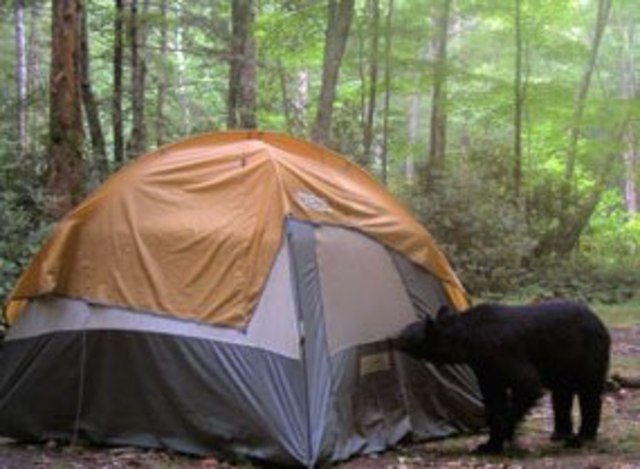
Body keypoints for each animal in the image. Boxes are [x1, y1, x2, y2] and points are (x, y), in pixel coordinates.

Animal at [392, 300, 611, 454]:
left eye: (406, 332)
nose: (391, 337)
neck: (470, 339)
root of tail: (599, 321)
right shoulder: (485, 367)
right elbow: (492, 398)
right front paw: (488, 445)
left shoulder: (502, 351)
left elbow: (528, 383)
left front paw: (504, 436)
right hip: (562, 362)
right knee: (562, 393)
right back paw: (560, 434)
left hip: (589, 353)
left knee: (589, 392)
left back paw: (581, 437)